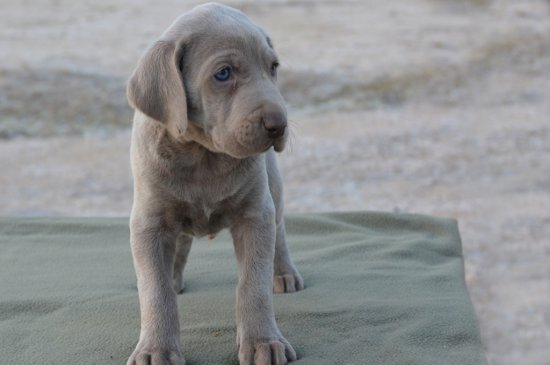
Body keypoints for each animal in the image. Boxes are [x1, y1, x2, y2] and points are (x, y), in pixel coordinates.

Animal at [126, 2, 304, 364]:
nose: (279, 124)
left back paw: (283, 272)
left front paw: (263, 342)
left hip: (274, 189)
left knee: (279, 230)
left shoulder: (255, 216)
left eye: (273, 67)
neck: (202, 155)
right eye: (223, 74)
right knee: (179, 245)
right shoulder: (148, 224)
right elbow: (155, 291)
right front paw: (156, 349)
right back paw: (174, 276)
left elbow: (253, 285)